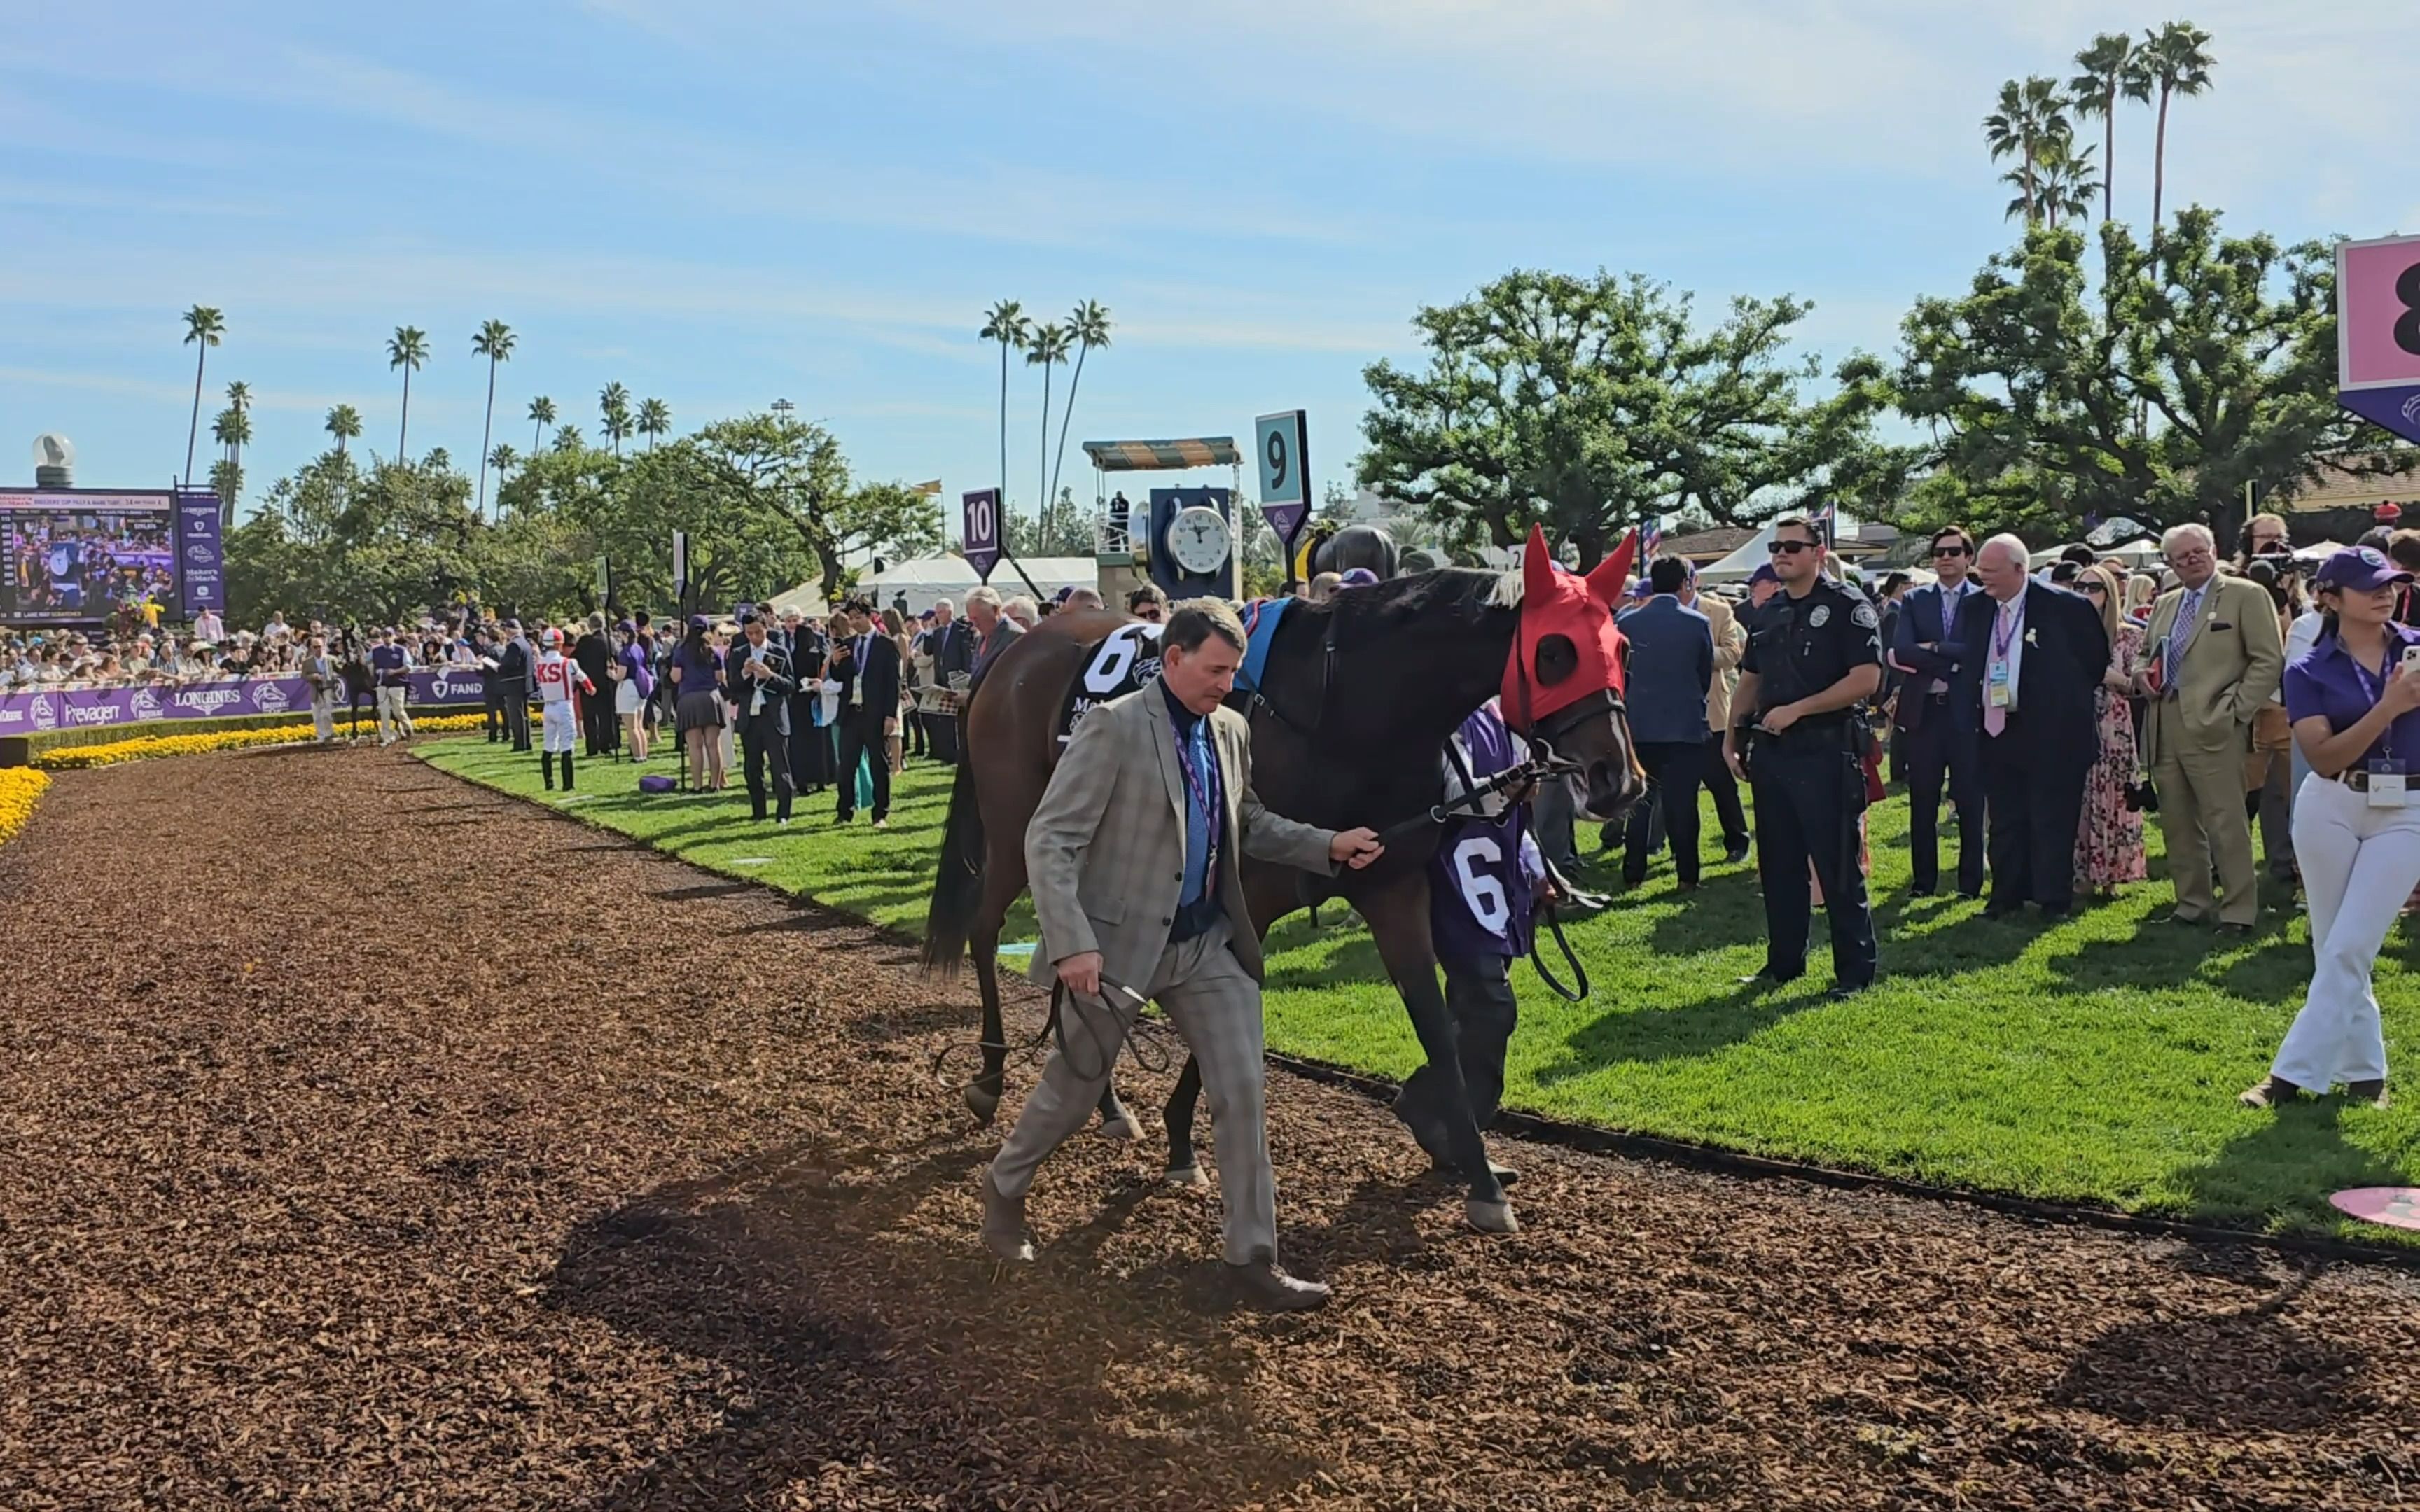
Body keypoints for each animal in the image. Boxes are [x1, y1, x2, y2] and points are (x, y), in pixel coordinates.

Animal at [919, 524, 1646, 1219]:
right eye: (1554, 652)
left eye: (1623, 648)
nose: (1620, 779)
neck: (1347, 710)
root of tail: (1012, 652)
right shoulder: (1252, 893)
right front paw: (1183, 1136)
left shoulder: (1390, 885)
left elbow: (1435, 1022)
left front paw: (1480, 1174)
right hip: (1021, 830)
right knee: (990, 931)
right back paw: (989, 1081)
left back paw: (1108, 1103)